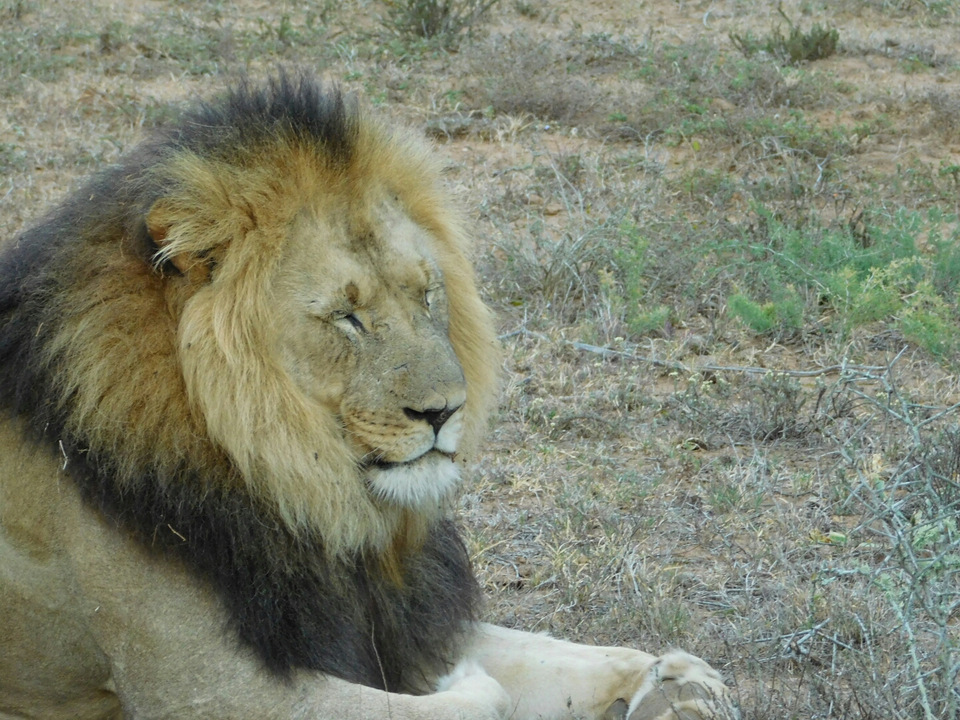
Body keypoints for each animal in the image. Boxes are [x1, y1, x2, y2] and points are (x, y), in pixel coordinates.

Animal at [0, 74, 735, 720]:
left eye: (426, 293)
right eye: (347, 317)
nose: (443, 412)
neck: (303, 494)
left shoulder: (391, 614)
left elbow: (545, 652)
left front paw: (674, 680)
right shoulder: (207, 691)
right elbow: (472, 698)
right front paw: (467, 682)